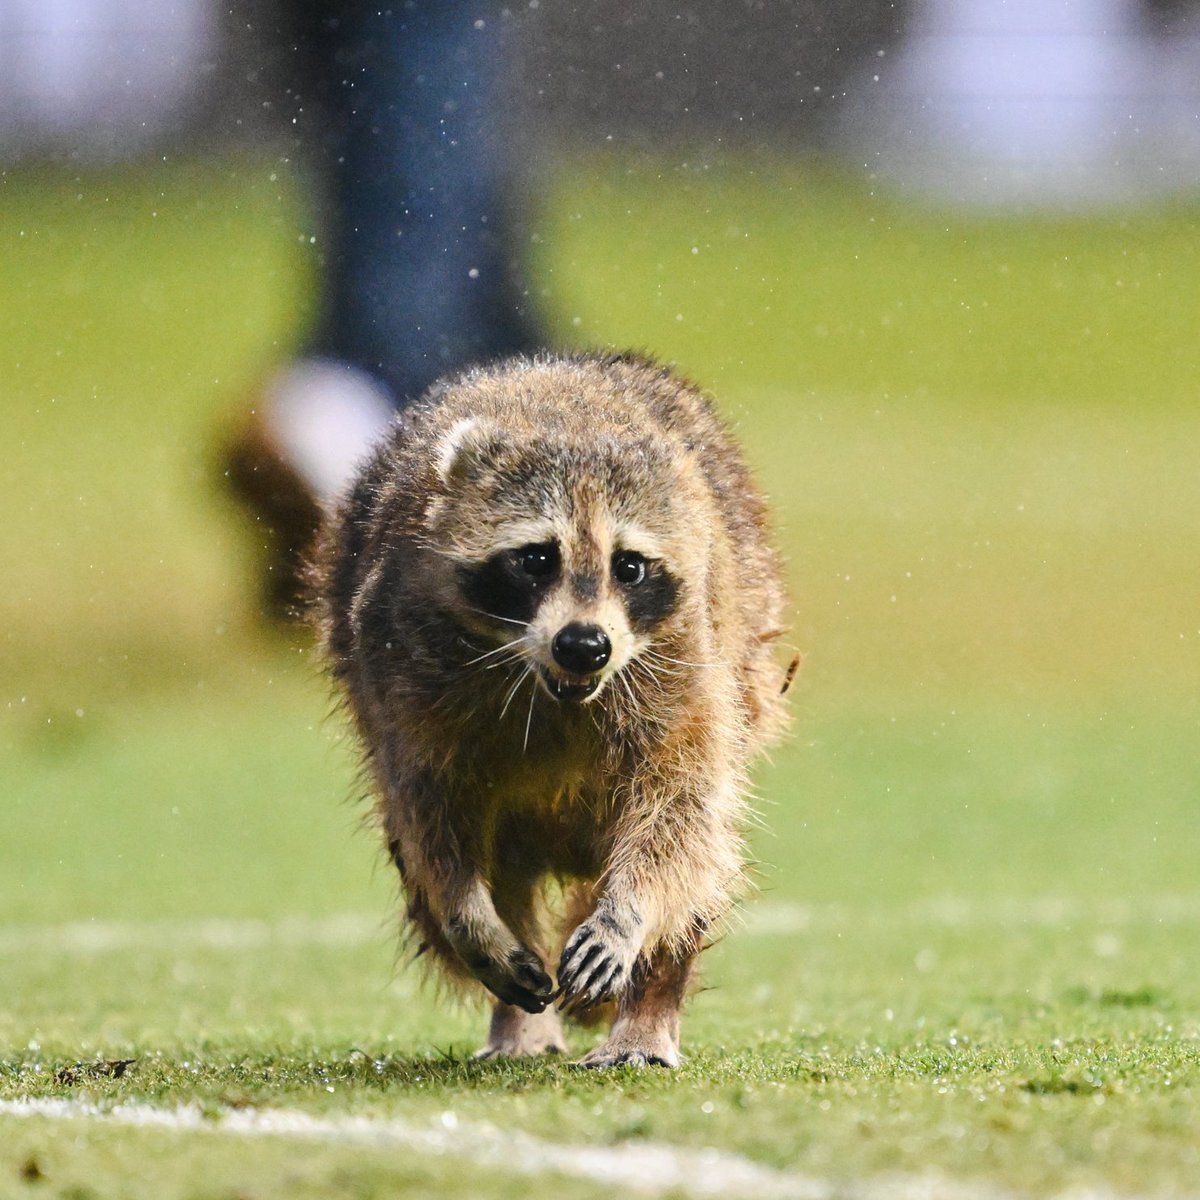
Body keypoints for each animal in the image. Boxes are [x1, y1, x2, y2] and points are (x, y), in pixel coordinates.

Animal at [314, 350, 792, 1065]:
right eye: (536, 559)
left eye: (630, 566)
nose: (585, 646)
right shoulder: (397, 662)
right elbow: (427, 814)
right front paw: (467, 916)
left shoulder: (691, 659)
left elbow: (680, 809)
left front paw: (628, 915)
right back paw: (517, 1012)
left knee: (703, 857)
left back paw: (648, 1009)